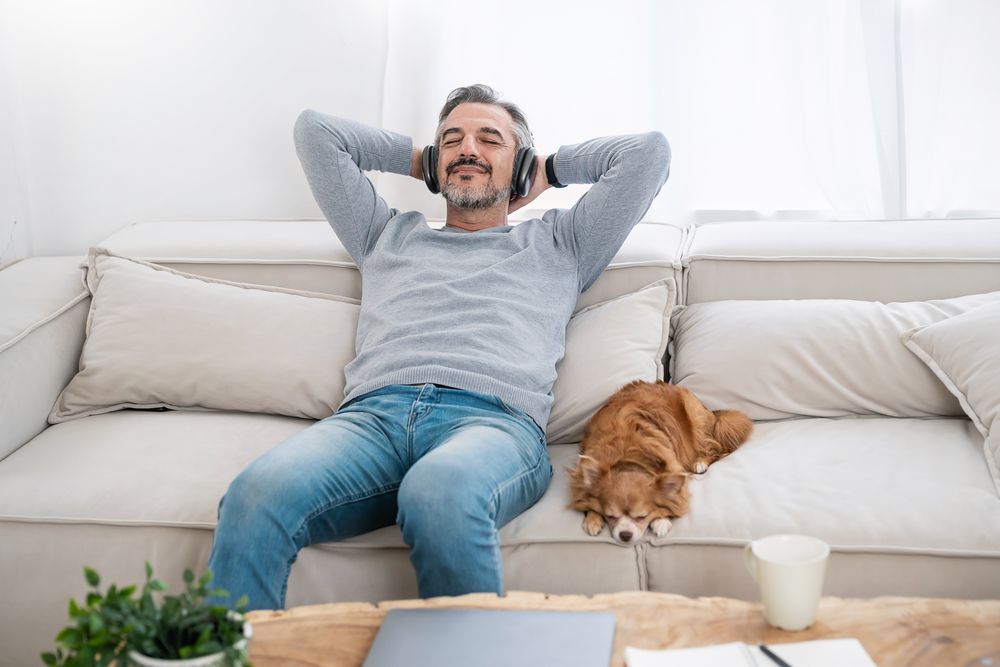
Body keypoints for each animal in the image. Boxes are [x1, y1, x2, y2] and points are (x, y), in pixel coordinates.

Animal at [568, 380, 752, 544]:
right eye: (610, 516)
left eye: (642, 516)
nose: (625, 535)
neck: (627, 456)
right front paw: (592, 519)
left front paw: (661, 521)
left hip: (696, 420)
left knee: (714, 449)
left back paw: (700, 462)